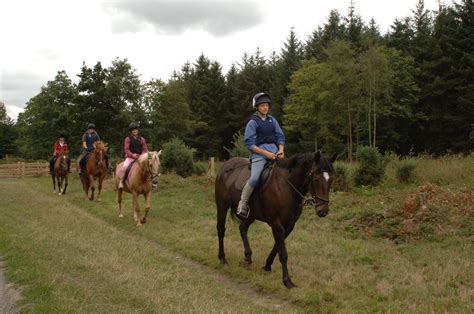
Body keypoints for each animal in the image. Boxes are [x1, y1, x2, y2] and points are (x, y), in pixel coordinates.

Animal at [215, 151, 336, 288]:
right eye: (315, 178)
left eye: (331, 179)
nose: (323, 211)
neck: (287, 188)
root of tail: (226, 166)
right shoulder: (277, 224)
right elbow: (283, 253)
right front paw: (287, 281)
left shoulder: (289, 226)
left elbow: (276, 248)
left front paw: (267, 266)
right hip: (222, 206)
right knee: (221, 229)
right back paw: (223, 258)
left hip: (251, 215)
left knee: (242, 229)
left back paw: (248, 258)